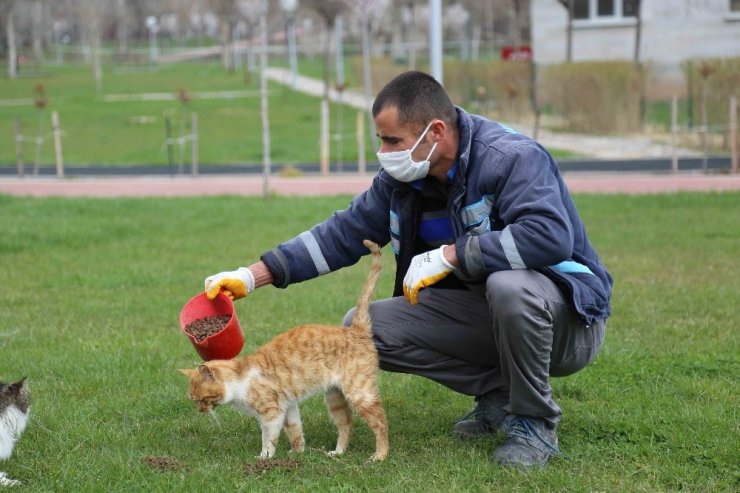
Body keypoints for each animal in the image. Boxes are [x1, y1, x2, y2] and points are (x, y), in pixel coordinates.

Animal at [181, 239, 388, 462]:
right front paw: (298, 453)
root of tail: (356, 330)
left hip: (359, 392)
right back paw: (338, 452)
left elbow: (268, 438)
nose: (200, 410)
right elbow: (295, 431)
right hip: (335, 398)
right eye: (195, 401)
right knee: (346, 424)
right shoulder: (288, 407)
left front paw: (264, 458)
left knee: (380, 422)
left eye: (200, 399)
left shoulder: (272, 413)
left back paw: (380, 455)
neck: (239, 380)